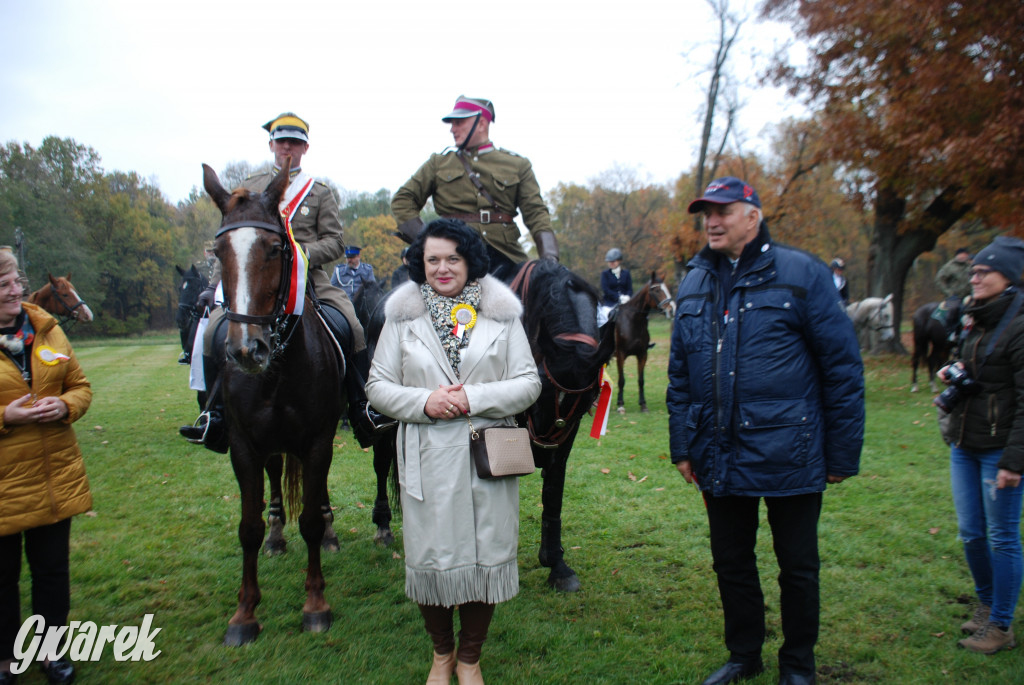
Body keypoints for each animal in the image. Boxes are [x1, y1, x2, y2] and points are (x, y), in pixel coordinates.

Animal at [199, 162, 344, 643]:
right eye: (218, 249)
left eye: (277, 248)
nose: (247, 350)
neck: (276, 372)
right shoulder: (243, 446)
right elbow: (248, 526)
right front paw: (244, 613)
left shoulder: (318, 442)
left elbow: (312, 523)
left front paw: (315, 604)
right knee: (277, 477)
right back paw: (278, 537)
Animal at [610, 272, 675, 411]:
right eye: (656, 290)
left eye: (666, 288)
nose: (671, 310)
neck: (633, 320)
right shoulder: (621, 355)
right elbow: (621, 380)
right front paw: (621, 405)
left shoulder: (642, 354)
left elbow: (641, 380)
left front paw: (643, 404)